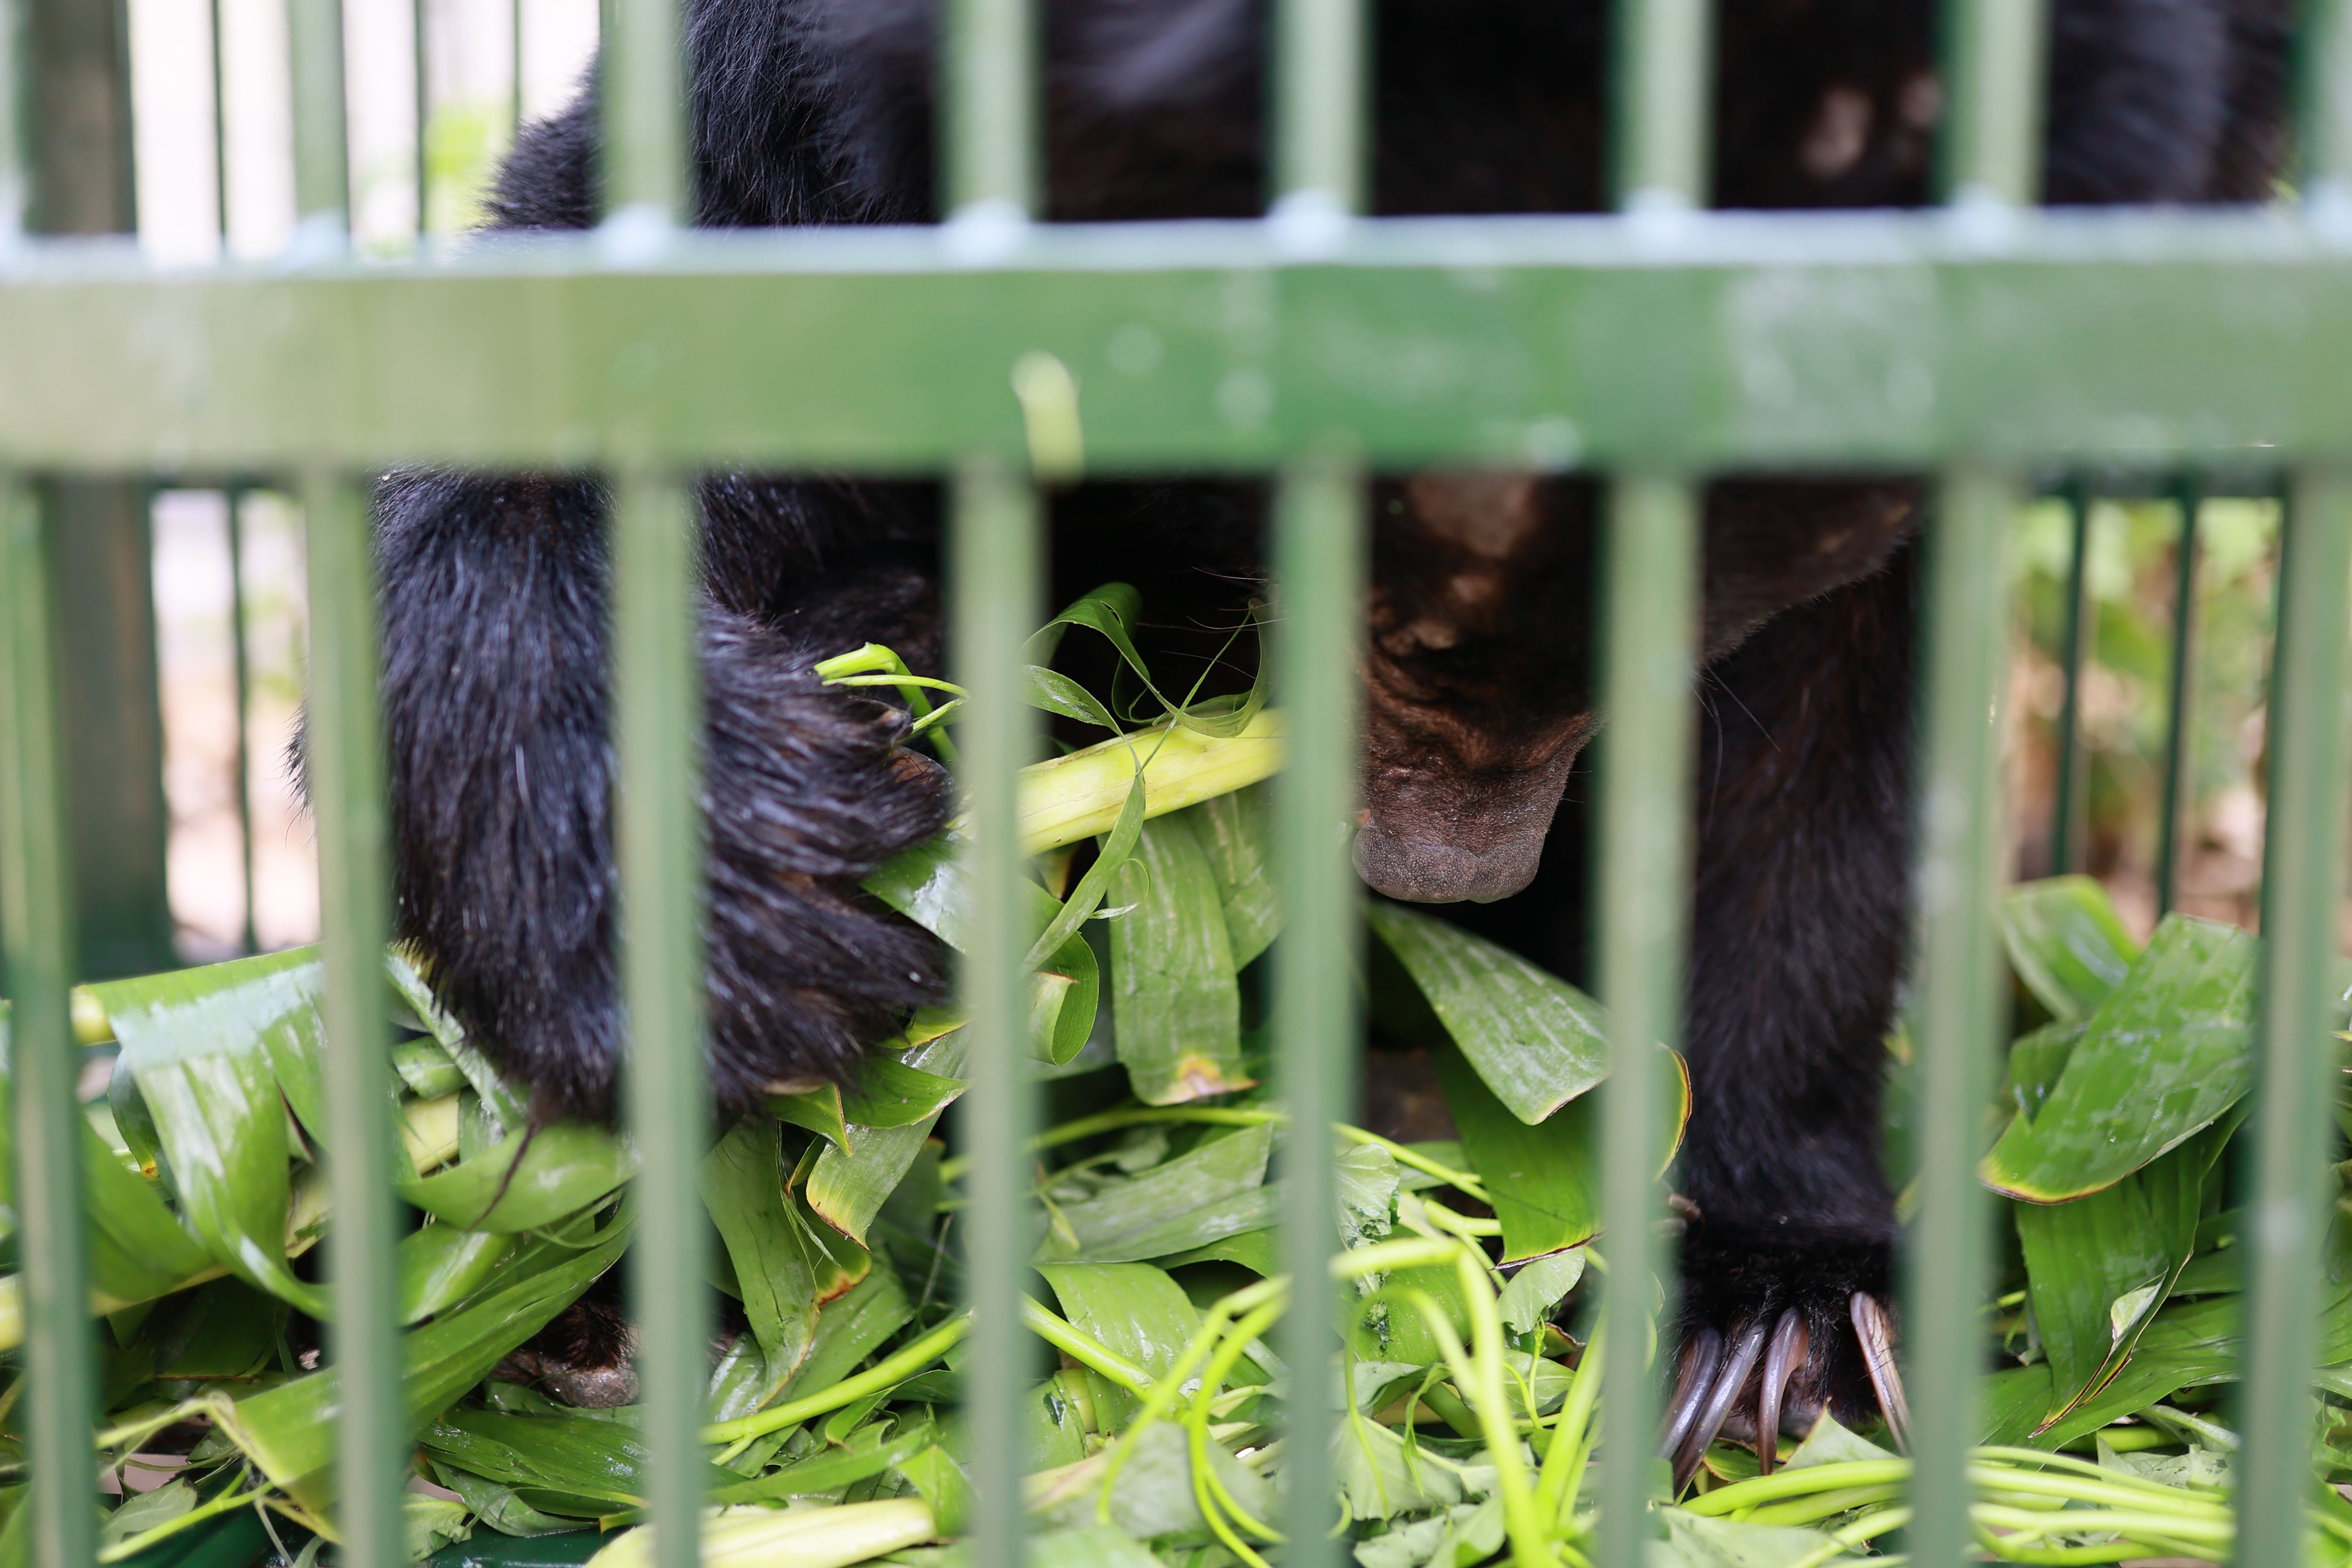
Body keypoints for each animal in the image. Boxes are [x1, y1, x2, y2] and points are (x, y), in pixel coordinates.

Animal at [381, 0, 2277, 1476]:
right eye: (1388, 614)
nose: (1447, 877)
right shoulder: (810, 116)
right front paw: (709, 895)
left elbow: (1817, 755)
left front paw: (1770, 1308)